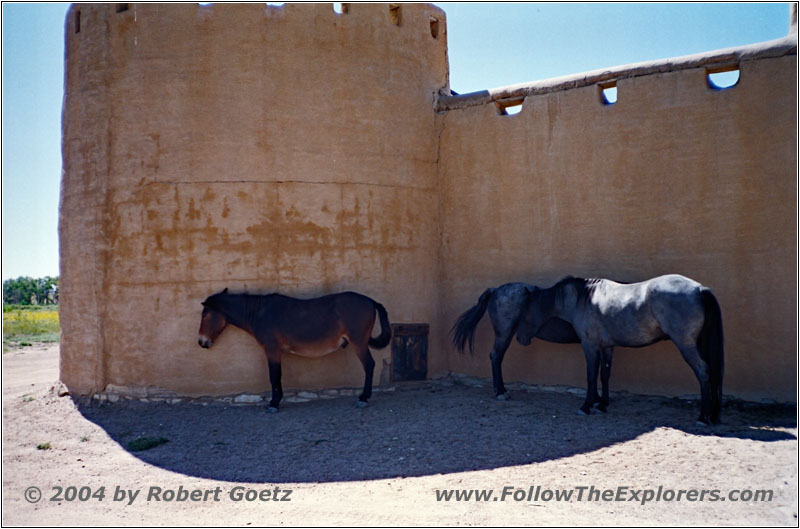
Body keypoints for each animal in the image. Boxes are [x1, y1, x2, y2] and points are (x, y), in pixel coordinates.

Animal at [197, 286, 390, 410]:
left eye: (205, 314)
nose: (201, 342)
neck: (260, 313)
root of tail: (371, 301)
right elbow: (277, 375)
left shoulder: (272, 350)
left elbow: (274, 376)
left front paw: (274, 404)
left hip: (359, 343)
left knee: (369, 366)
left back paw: (363, 398)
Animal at [450, 274, 724, 422]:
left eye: (528, 309)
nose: (524, 337)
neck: (585, 299)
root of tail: (699, 289)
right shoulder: (605, 346)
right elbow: (603, 375)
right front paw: (600, 404)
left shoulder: (592, 345)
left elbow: (593, 375)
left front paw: (589, 405)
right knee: (496, 357)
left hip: (687, 345)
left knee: (704, 372)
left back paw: (704, 416)